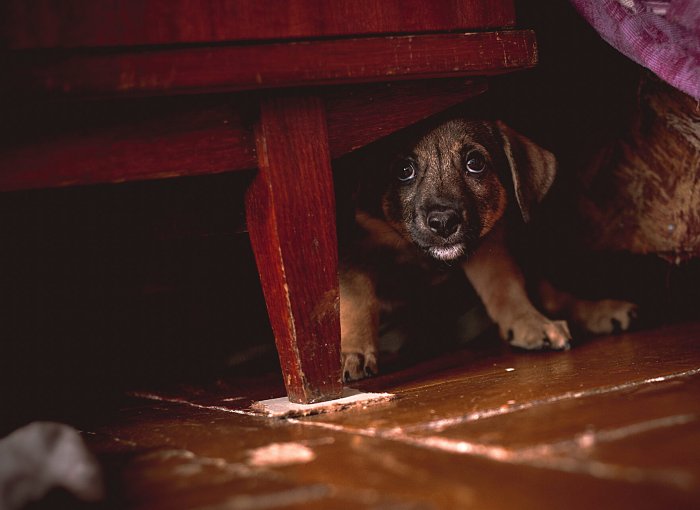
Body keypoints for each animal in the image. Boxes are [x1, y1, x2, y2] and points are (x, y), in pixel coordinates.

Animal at [342, 119, 636, 380]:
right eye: (404, 170)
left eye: (475, 164)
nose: (444, 222)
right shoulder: (356, 248)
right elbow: (357, 299)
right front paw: (354, 351)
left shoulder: (488, 247)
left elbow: (504, 287)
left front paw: (528, 321)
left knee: (553, 295)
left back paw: (600, 311)